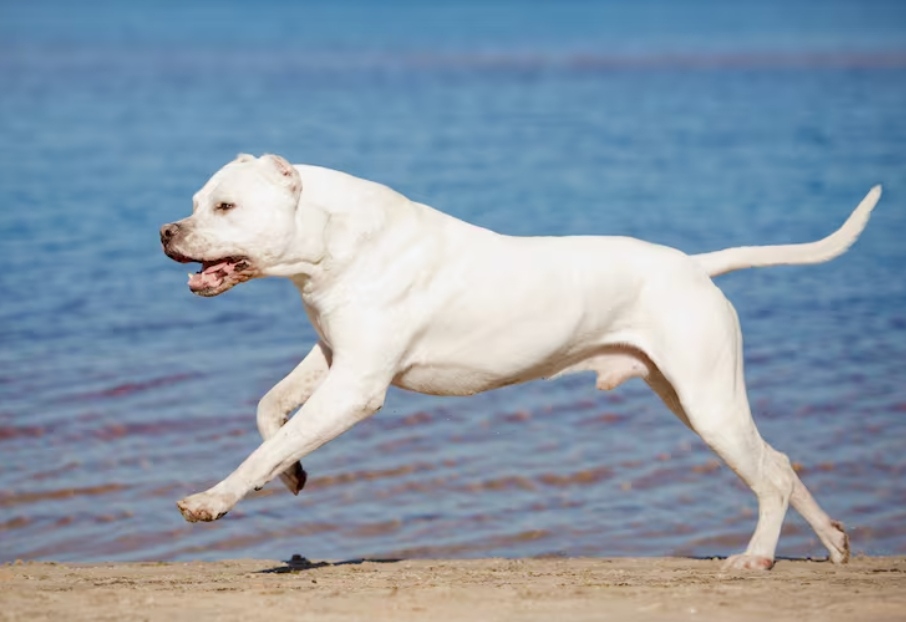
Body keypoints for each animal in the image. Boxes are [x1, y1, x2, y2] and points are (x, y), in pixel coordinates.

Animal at [159, 155, 880, 572]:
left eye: (225, 206)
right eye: (194, 202)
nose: (166, 231)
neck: (335, 242)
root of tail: (695, 266)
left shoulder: (357, 385)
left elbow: (266, 444)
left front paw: (213, 500)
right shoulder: (333, 358)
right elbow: (271, 415)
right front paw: (291, 474)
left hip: (708, 404)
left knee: (770, 476)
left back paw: (755, 560)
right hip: (692, 397)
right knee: (778, 463)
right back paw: (834, 543)